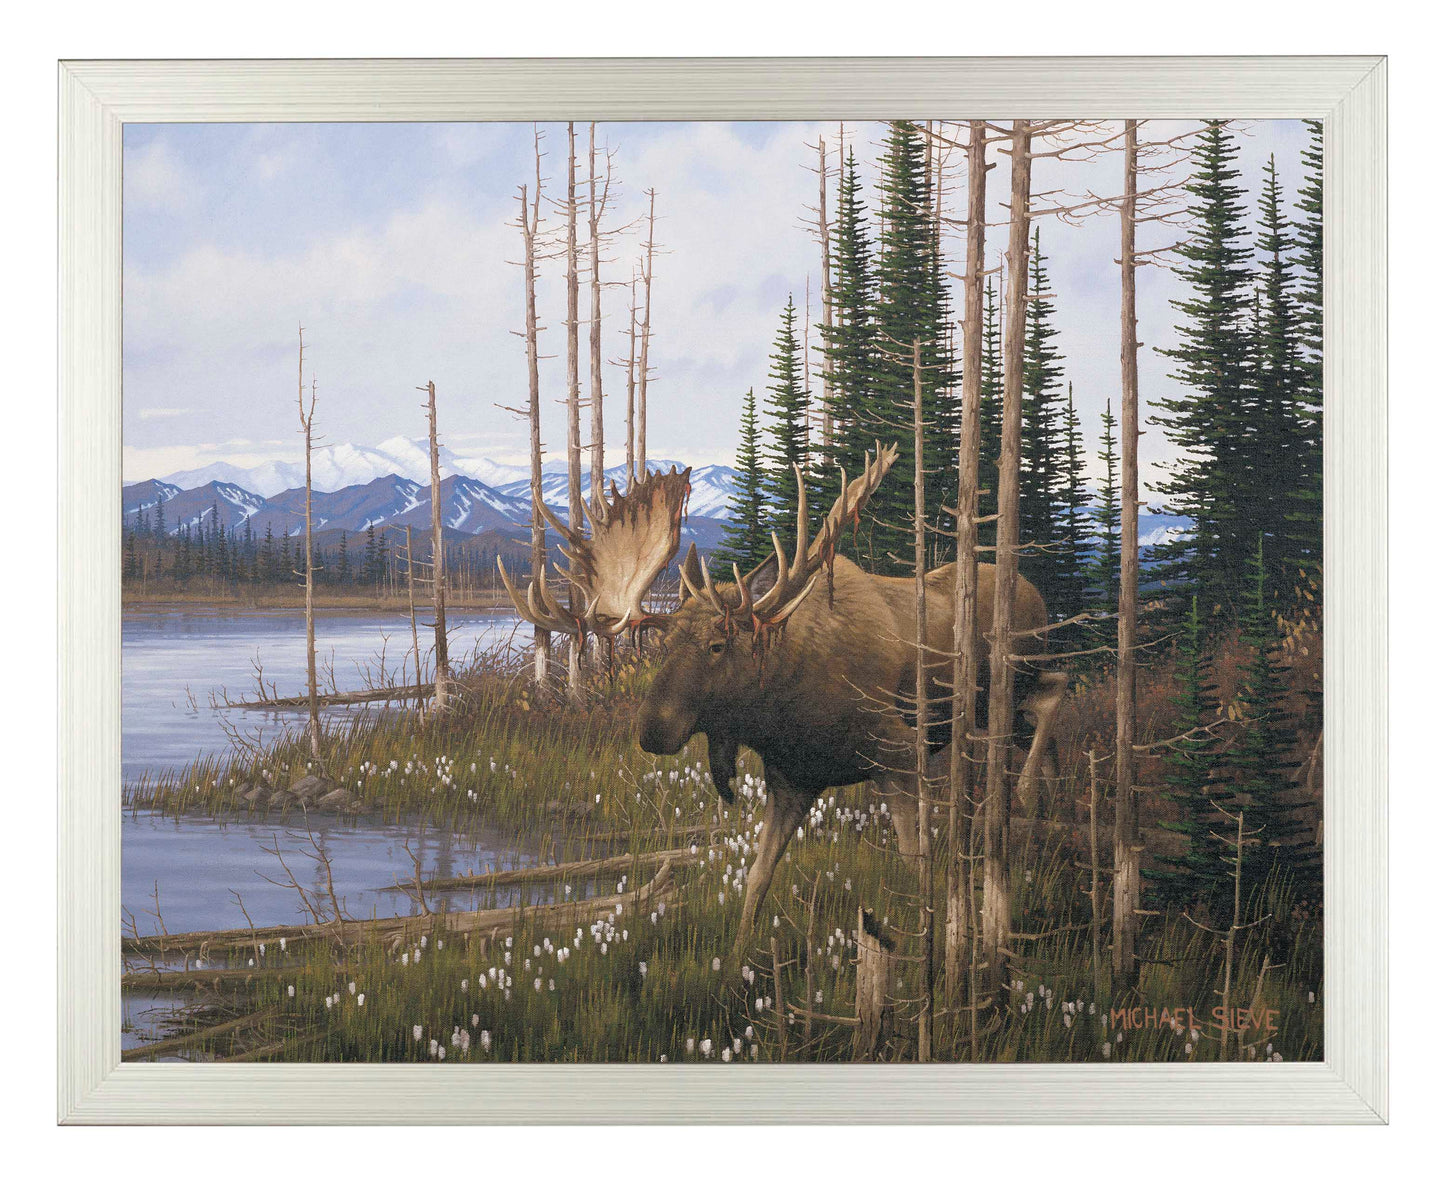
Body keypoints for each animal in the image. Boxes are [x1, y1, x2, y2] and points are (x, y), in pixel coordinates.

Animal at [499, 447, 1066, 960]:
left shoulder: (900, 752)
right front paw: (737, 956)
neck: (786, 713)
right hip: (994, 708)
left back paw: (1028, 795)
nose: (651, 730)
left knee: (1055, 692)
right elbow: (757, 876)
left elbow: (915, 862)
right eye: (663, 645)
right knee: (1048, 716)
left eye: (717, 645)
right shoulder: (791, 780)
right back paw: (1044, 813)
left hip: (1010, 681)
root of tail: (1037, 590)